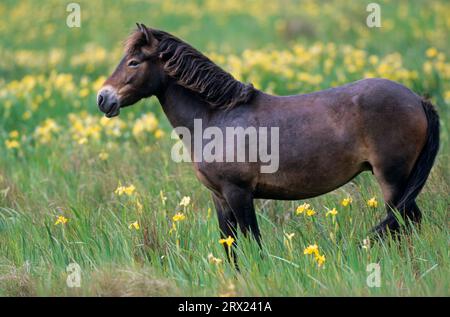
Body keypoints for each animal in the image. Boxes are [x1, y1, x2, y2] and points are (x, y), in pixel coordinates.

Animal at [97, 24, 440, 256]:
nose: (103, 99)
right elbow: (231, 247)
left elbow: (254, 242)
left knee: (406, 222)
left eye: (134, 62)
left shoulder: (239, 193)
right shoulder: (219, 197)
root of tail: (417, 99)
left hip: (393, 179)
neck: (217, 117)